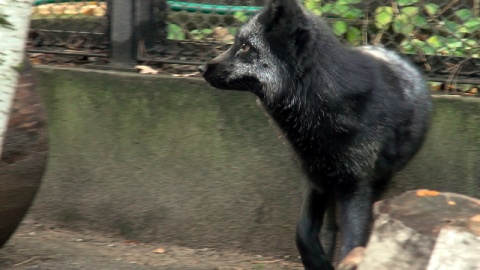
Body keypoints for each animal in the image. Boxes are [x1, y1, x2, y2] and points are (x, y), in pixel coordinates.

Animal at [199, 0, 432, 268]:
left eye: (245, 47)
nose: (201, 68)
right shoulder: (316, 179)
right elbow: (303, 233)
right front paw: (318, 260)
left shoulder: (356, 186)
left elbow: (352, 243)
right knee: (330, 228)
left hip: (376, 182)